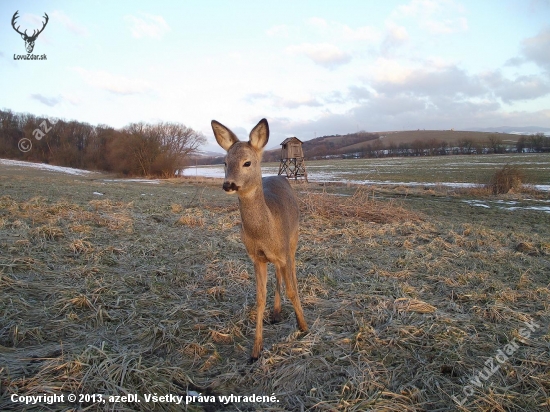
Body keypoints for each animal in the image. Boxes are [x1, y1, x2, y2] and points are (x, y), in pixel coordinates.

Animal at [212, 118, 310, 360]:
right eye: (225, 162)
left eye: (247, 162)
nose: (228, 184)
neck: (265, 231)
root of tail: (280, 177)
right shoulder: (256, 257)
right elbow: (259, 299)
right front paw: (255, 350)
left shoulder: (284, 250)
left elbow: (292, 289)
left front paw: (303, 326)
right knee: (278, 275)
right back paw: (275, 313)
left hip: (293, 239)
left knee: (290, 274)